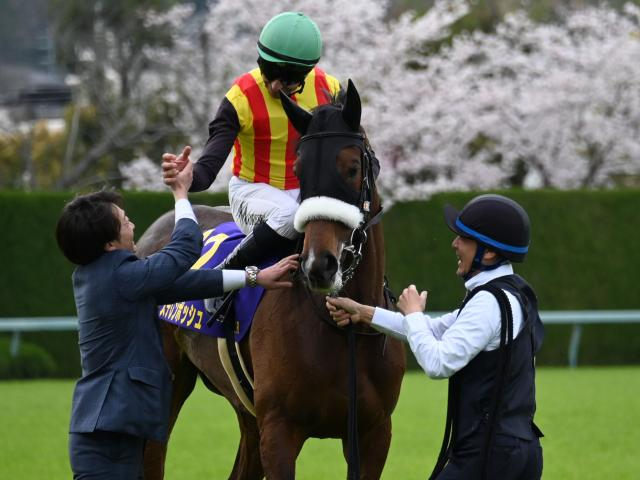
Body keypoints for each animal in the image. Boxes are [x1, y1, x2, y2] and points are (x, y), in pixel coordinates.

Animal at [138, 80, 404, 478]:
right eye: (300, 168)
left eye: (352, 167)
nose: (319, 265)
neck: (343, 329)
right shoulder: (279, 430)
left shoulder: (374, 434)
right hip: (169, 383)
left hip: (247, 414)